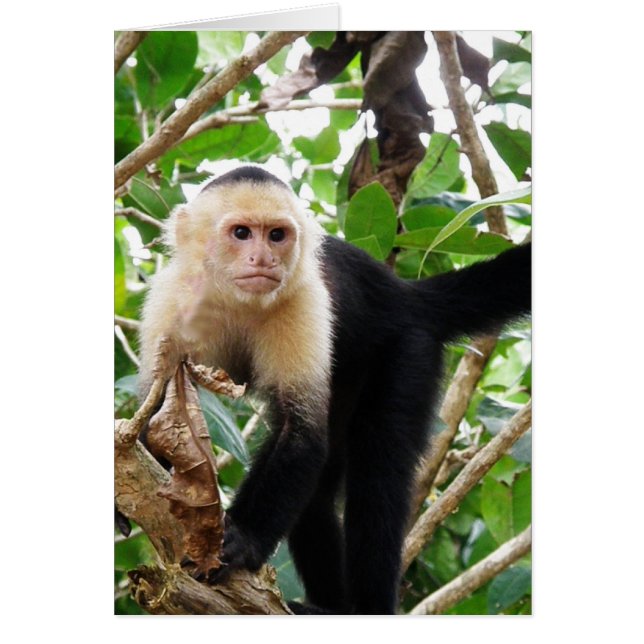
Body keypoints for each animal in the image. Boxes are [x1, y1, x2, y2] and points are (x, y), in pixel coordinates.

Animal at [137, 165, 531, 615]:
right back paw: (328, 608)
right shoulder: (170, 300)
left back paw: (369, 606)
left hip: (407, 346)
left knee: (375, 480)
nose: (264, 259)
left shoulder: (306, 302)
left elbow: (303, 435)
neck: (235, 298)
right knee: (318, 494)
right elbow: (154, 414)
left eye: (277, 235)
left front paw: (243, 541)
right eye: (241, 233)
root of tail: (406, 294)